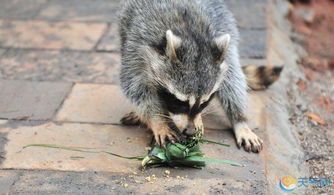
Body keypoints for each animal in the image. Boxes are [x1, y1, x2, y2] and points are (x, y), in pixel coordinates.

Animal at [118, 0, 282, 152]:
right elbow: (135, 87)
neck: (191, 35)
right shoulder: (137, 48)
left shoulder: (222, 36)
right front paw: (158, 121)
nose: (190, 130)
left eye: (205, 102)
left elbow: (232, 78)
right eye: (180, 102)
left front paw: (239, 120)